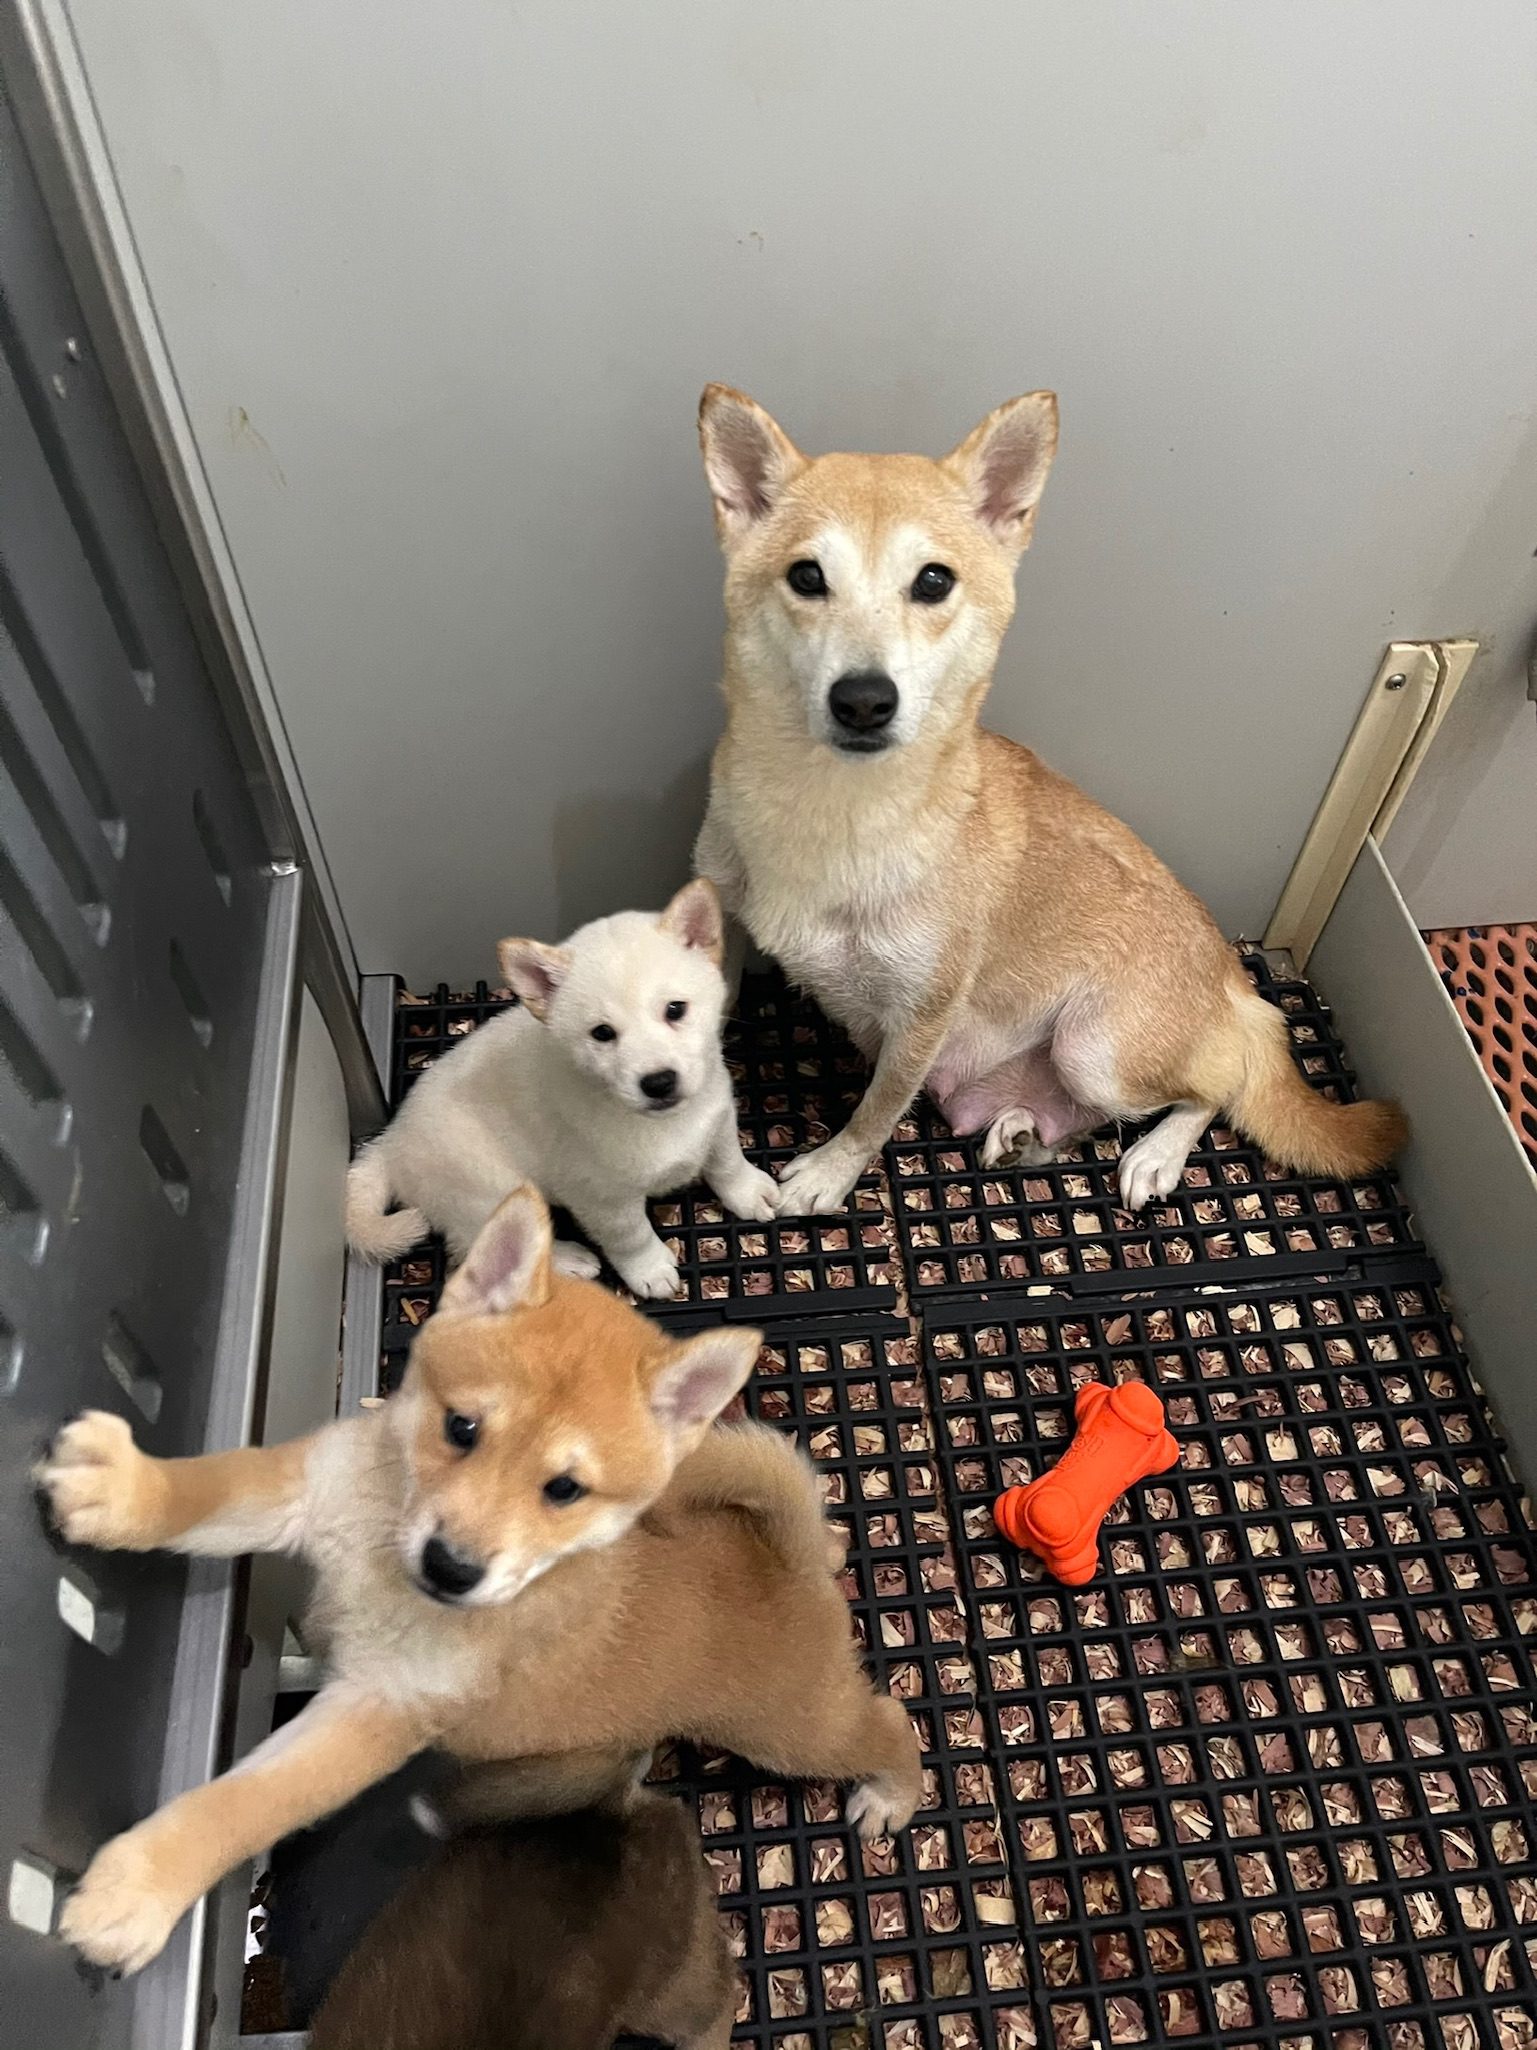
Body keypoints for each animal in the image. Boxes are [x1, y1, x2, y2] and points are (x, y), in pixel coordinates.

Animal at [42, 1189, 922, 1984]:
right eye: (461, 1428)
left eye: (564, 1490)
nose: (451, 1567)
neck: (381, 1555)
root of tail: (788, 1562)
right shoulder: (301, 1487)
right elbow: (205, 1489)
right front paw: (120, 1489)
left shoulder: (379, 1710)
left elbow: (250, 1801)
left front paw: (139, 1892)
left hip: (789, 1732)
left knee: (888, 1721)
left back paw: (891, 1794)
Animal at [696, 387, 1409, 1213]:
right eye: (807, 577)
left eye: (932, 581)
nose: (865, 700)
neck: (833, 812)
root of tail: (1233, 980)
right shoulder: (717, 929)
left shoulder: (922, 1016)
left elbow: (874, 1114)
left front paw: (828, 1174)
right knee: (1080, 1119)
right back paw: (1023, 1135)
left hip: (1095, 1048)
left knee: (1211, 1088)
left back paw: (1155, 1157)